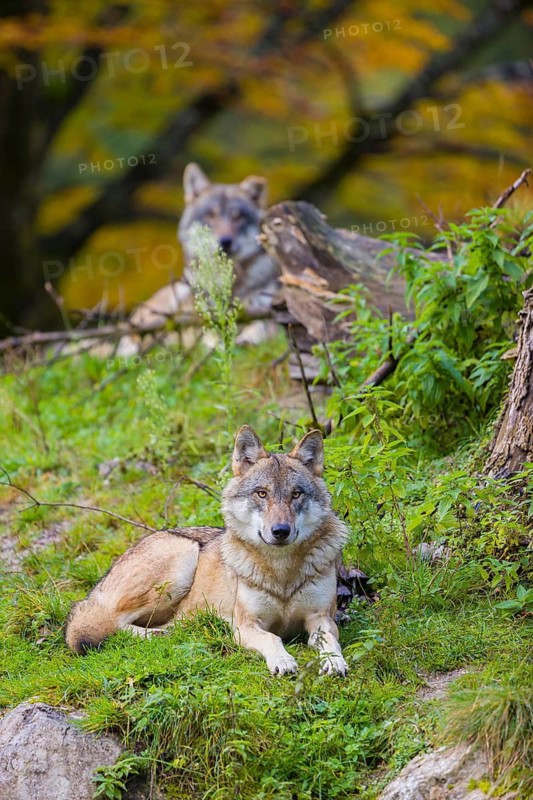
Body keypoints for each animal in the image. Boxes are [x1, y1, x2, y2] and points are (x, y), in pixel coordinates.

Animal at [65, 426, 349, 676]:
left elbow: (330, 641)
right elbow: (272, 638)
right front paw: (282, 660)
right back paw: (160, 634)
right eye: (262, 494)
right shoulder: (246, 626)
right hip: (182, 558)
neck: (282, 573)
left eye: (296, 494)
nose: (280, 531)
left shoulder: (321, 618)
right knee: (110, 626)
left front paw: (335, 662)